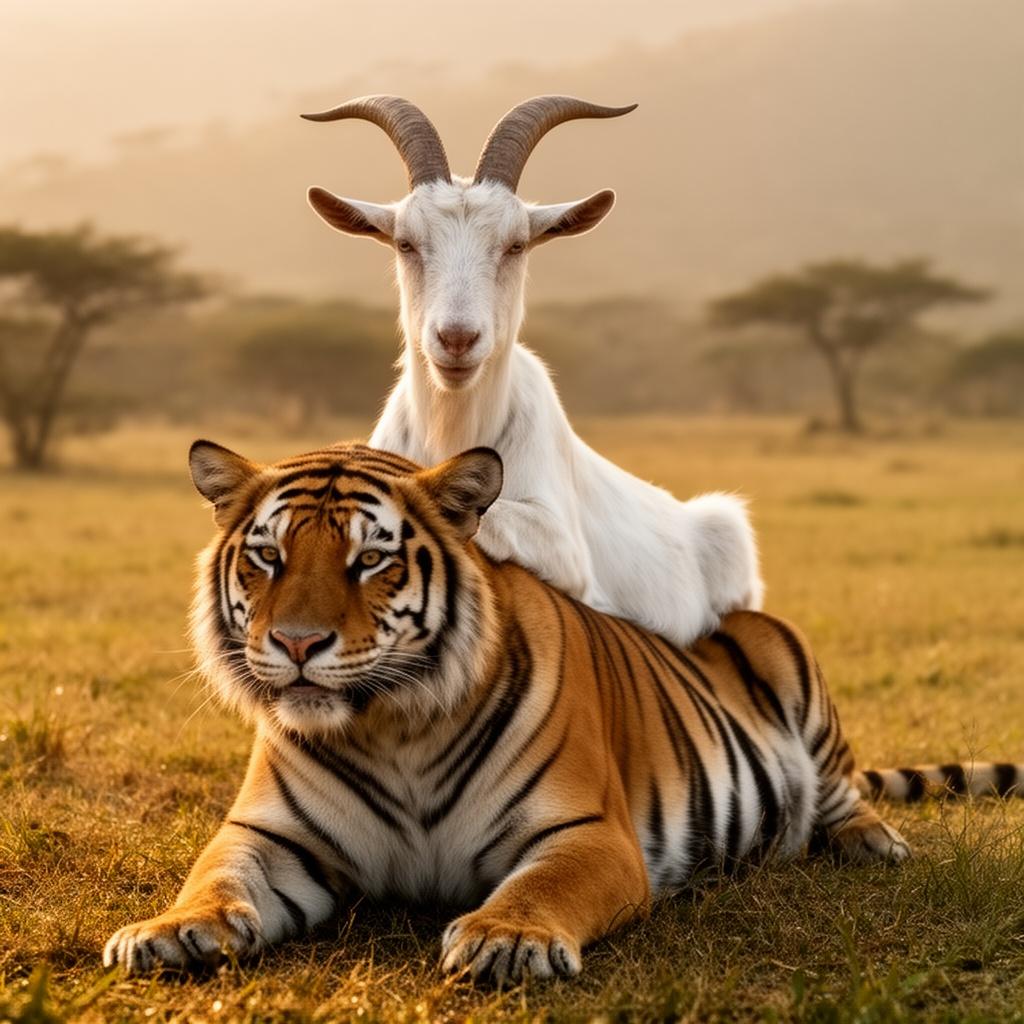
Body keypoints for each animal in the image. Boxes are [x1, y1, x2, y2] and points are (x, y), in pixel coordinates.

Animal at [103, 440, 1023, 983]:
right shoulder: (271, 836)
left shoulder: (587, 834)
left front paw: (507, 940)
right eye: (267, 557)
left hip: (787, 658)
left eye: (370, 561)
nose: (296, 643)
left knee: (843, 794)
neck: (392, 727)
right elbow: (214, 876)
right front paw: (172, 929)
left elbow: (540, 887)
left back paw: (874, 842)